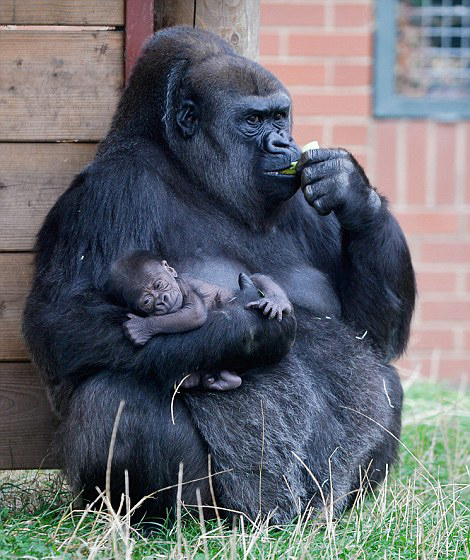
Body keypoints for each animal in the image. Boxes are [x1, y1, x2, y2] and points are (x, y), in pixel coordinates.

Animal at [105, 252, 294, 392]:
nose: (162, 300)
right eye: (147, 302)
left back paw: (276, 301)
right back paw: (220, 380)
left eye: (159, 285)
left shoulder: (184, 284)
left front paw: (141, 328)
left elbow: (195, 313)